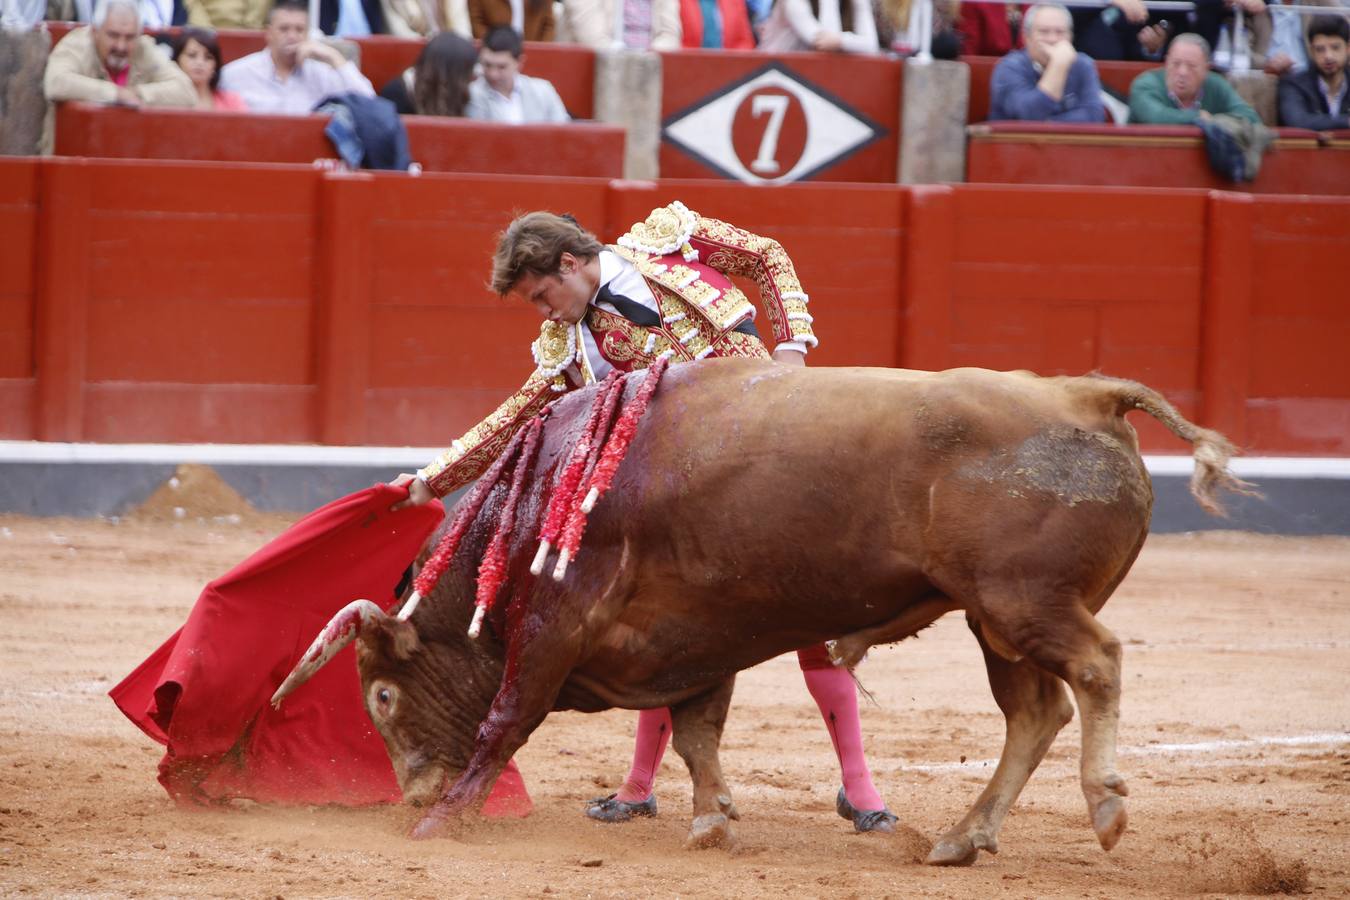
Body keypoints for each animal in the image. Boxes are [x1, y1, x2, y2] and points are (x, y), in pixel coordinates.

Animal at [268, 361, 1247, 868]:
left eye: (382, 697)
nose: (410, 792)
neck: (540, 491)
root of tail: (1085, 394)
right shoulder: (694, 639)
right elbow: (696, 732)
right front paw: (711, 819)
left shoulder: (554, 630)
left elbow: (504, 720)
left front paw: (444, 821)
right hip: (995, 621)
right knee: (1034, 712)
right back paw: (962, 839)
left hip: (1023, 601)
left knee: (1097, 666)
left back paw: (1105, 807)